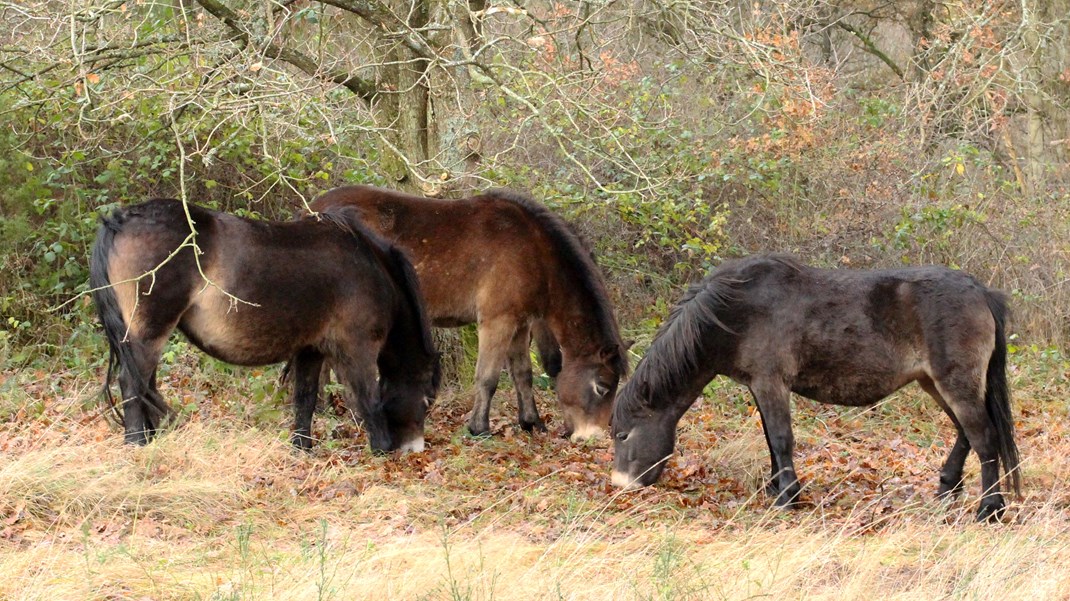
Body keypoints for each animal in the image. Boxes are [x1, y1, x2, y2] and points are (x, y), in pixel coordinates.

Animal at [89, 196, 440, 449]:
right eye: (425, 399)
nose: (413, 449)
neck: (369, 269)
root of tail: (121, 219)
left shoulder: (311, 350)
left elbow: (305, 398)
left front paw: (302, 447)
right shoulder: (358, 348)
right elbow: (369, 399)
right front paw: (381, 449)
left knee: (145, 384)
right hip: (149, 333)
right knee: (132, 383)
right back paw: (137, 444)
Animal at [306, 185, 629, 438]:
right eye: (602, 387)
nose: (596, 435)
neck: (533, 249)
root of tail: (313, 211)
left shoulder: (519, 324)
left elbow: (522, 374)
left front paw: (531, 422)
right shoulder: (497, 322)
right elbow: (488, 378)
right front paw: (479, 428)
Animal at [612, 252, 1018, 519]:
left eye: (622, 435)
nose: (620, 486)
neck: (734, 310)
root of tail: (981, 291)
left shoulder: (771, 383)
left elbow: (780, 439)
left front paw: (788, 497)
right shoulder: (759, 387)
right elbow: (770, 440)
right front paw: (777, 488)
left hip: (955, 383)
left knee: (984, 438)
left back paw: (989, 508)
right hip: (934, 383)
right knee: (966, 433)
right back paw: (948, 486)